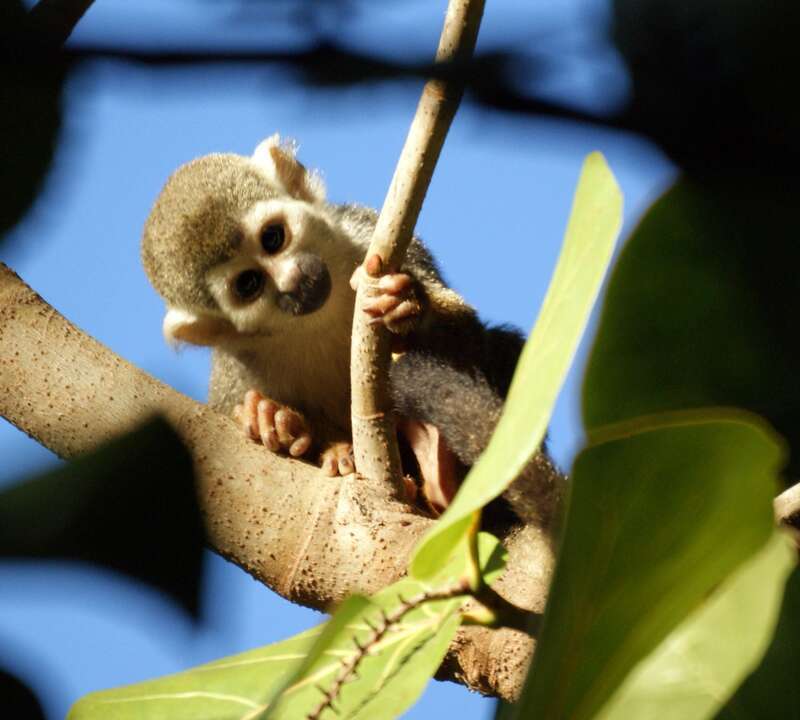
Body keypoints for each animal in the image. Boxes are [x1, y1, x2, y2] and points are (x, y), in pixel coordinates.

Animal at [141, 134, 563, 527]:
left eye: (273, 238)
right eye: (249, 284)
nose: (294, 281)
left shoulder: (365, 231)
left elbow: (469, 335)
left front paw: (406, 302)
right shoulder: (234, 368)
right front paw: (270, 419)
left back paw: (439, 470)